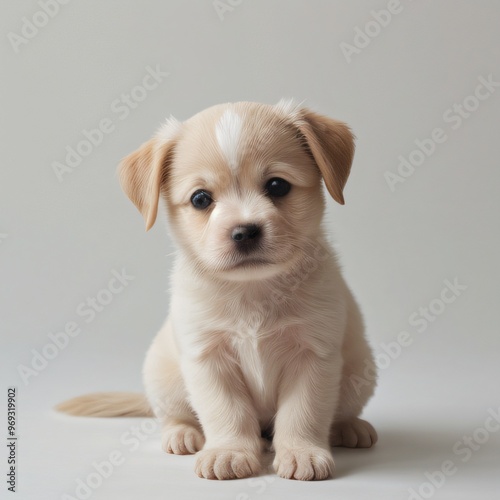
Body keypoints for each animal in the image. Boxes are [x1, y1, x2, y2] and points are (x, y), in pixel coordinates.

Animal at [57, 100, 376, 480]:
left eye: (277, 186)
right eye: (200, 199)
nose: (245, 231)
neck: (253, 291)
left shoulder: (314, 355)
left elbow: (303, 413)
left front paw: (301, 451)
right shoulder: (207, 358)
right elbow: (227, 412)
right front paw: (229, 451)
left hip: (360, 371)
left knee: (338, 413)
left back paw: (349, 427)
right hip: (164, 378)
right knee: (174, 416)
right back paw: (182, 434)